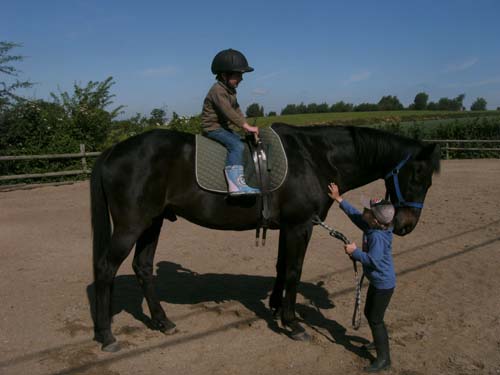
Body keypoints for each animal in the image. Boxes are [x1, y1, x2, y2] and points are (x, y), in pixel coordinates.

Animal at [90, 124, 438, 352]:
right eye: (418, 176)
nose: (406, 226)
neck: (314, 157)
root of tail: (112, 150)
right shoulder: (300, 226)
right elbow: (294, 271)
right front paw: (293, 324)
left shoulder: (288, 227)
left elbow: (282, 267)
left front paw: (276, 308)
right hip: (132, 225)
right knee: (105, 269)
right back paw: (107, 336)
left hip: (153, 223)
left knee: (143, 267)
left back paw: (162, 322)